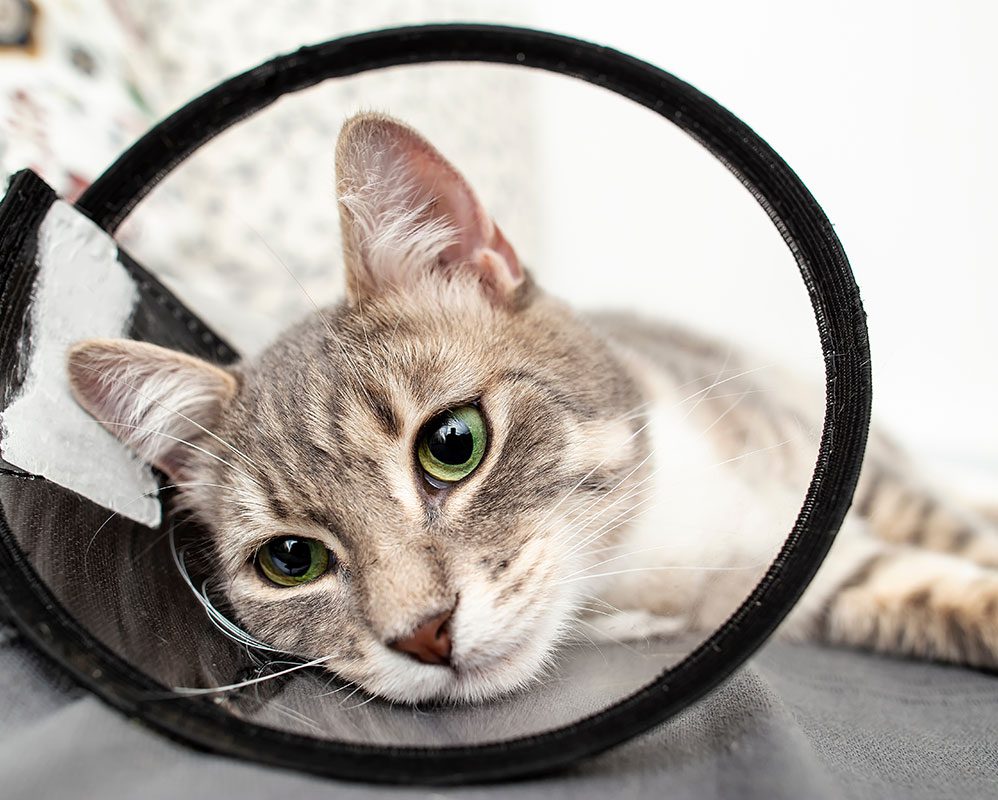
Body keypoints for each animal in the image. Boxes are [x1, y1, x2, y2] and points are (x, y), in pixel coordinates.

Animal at [64, 114, 998, 708]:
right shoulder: (825, 588)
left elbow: (956, 537)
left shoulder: (833, 473)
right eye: (291, 559)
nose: (424, 636)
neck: (633, 556)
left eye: (452, 442)